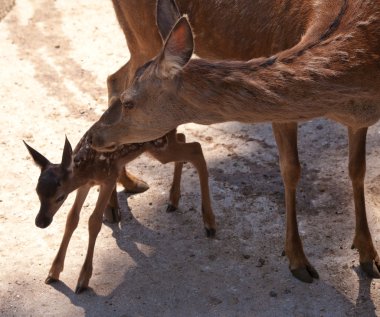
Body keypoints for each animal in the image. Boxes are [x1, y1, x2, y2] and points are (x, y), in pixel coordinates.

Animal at [24, 123, 214, 292]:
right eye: (37, 192)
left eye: (60, 197)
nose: (40, 222)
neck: (87, 167)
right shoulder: (85, 185)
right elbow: (72, 219)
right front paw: (53, 273)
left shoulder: (109, 177)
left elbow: (94, 221)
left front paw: (83, 280)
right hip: (162, 146)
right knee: (184, 138)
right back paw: (173, 201)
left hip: (159, 146)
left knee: (196, 149)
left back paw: (209, 224)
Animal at [88, 0, 380, 282]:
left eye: (129, 103)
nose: (92, 136)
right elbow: (291, 171)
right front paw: (298, 260)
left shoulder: (360, 119)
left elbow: (357, 170)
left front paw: (369, 256)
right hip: (140, 34)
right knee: (115, 77)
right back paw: (117, 201)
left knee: (115, 76)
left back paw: (140, 188)